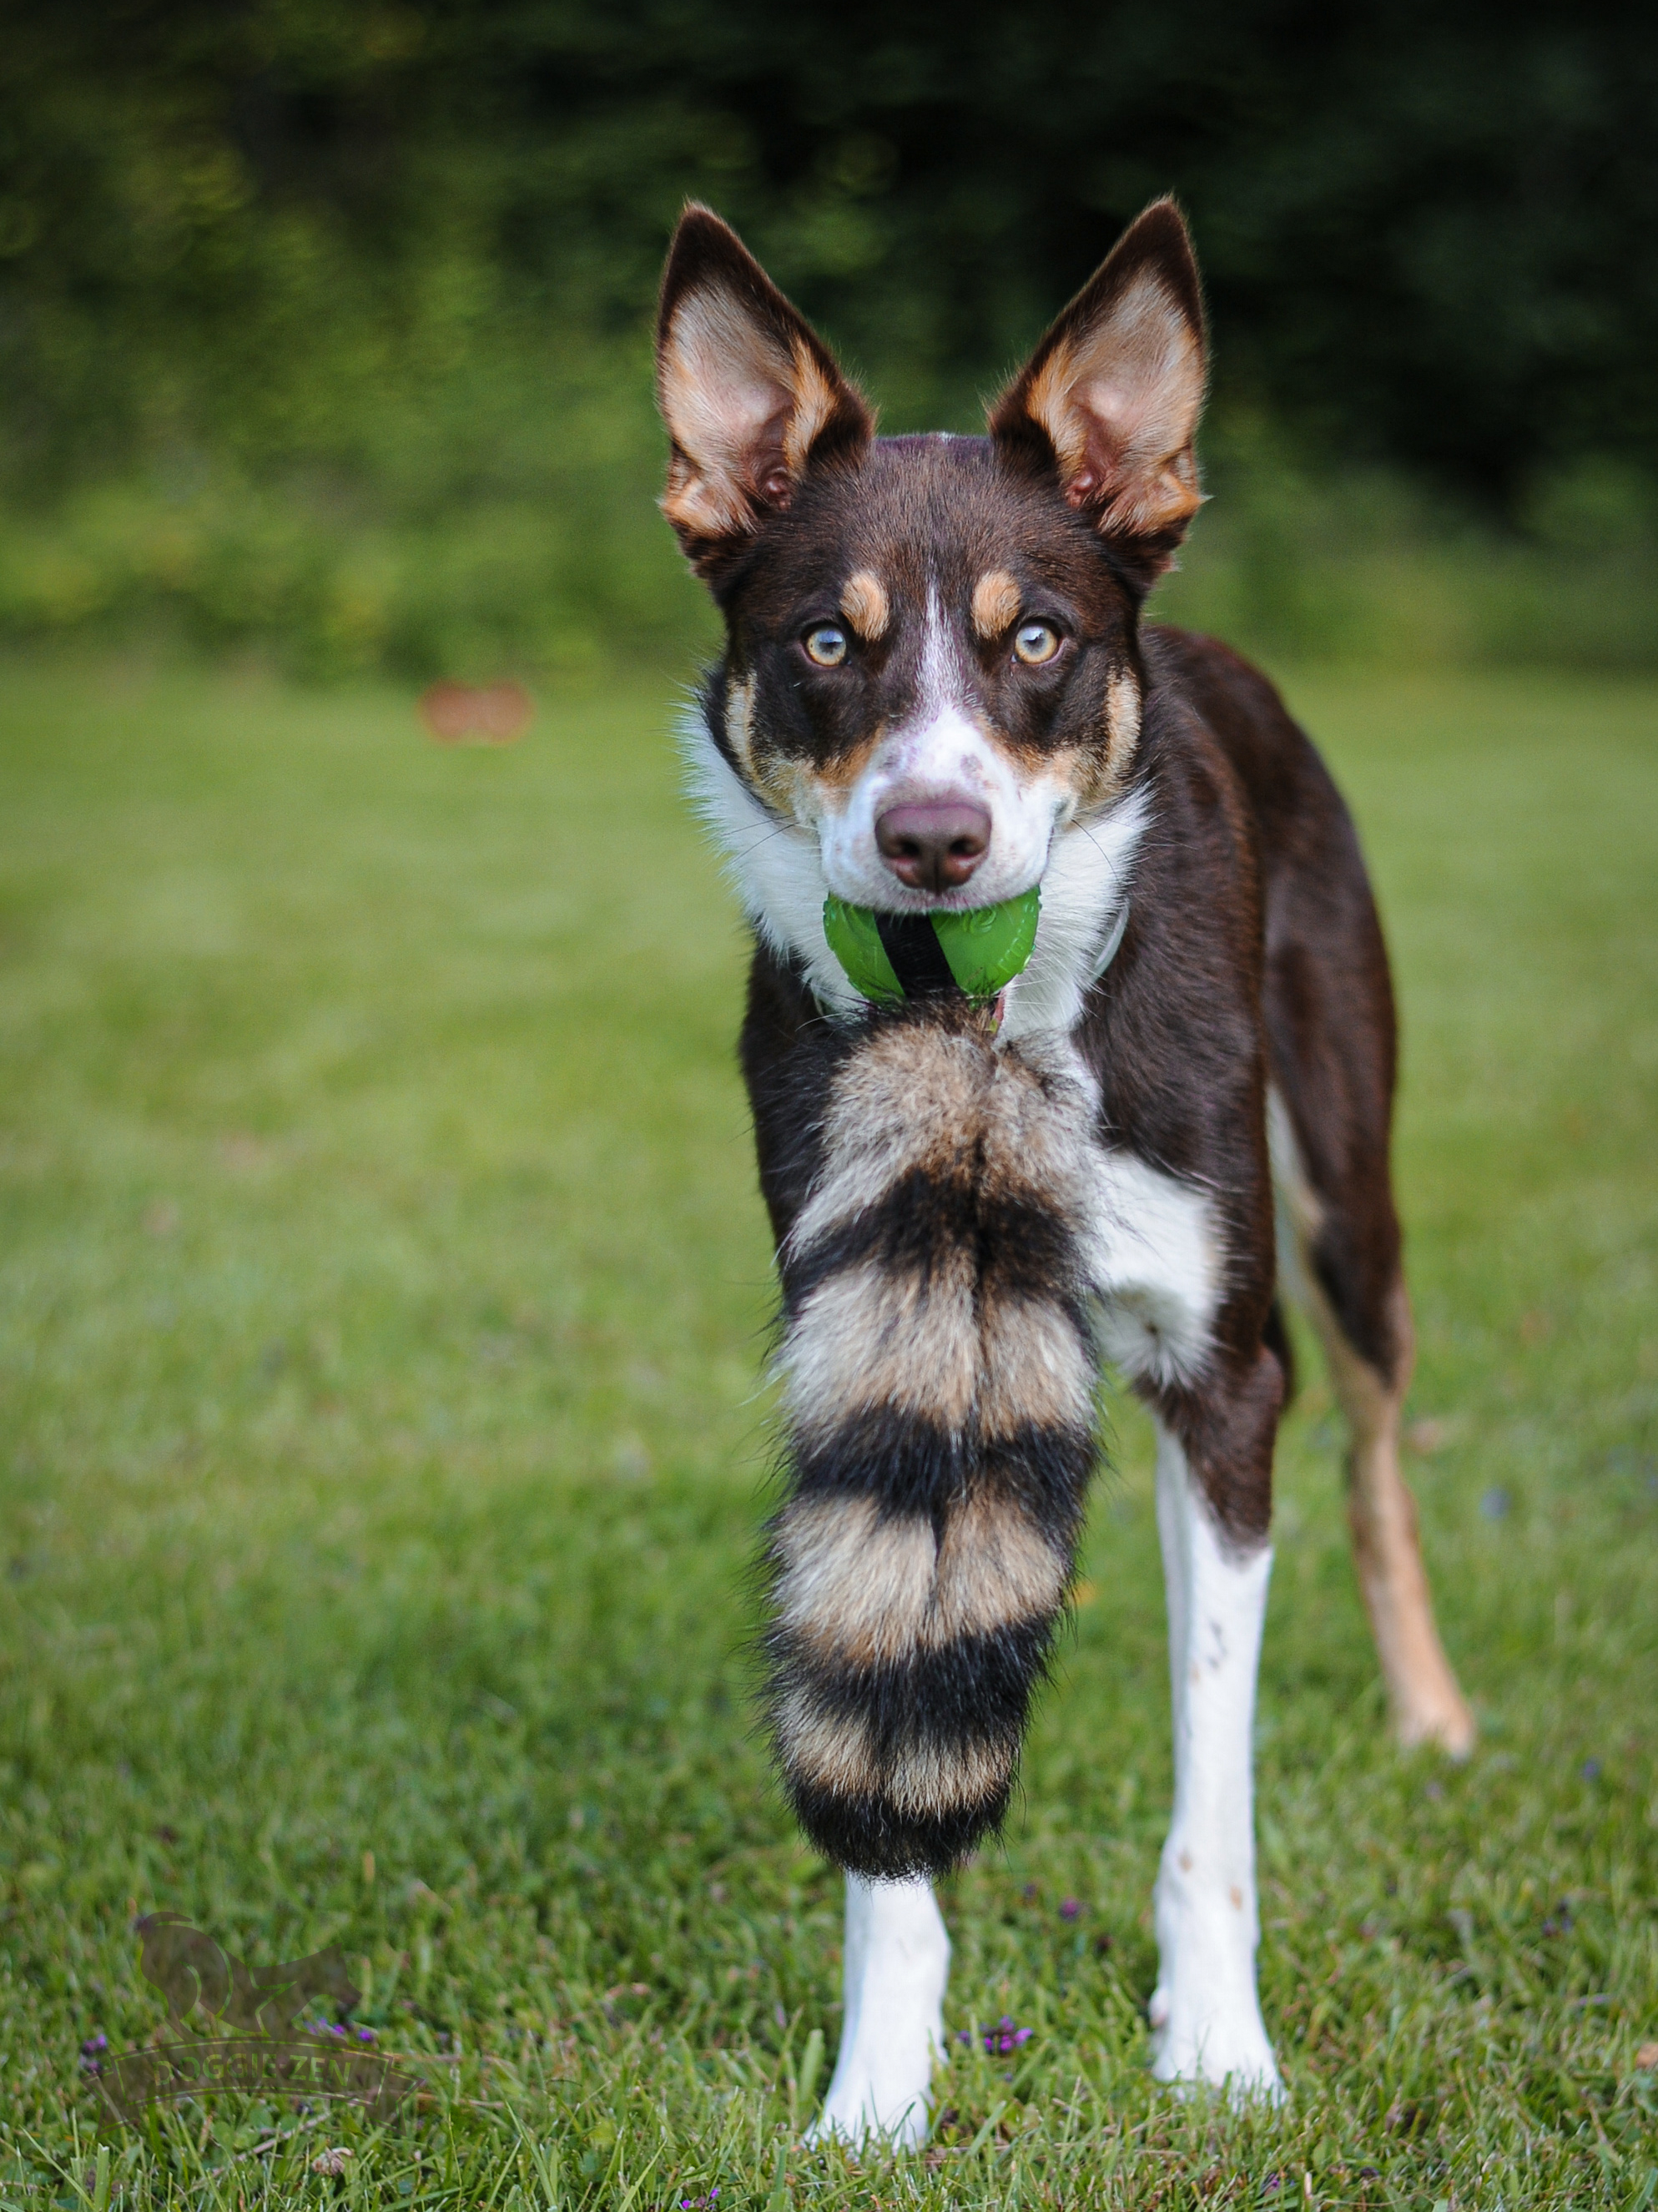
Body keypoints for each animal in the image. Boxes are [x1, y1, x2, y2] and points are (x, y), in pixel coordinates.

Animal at [654, 194, 1476, 2141]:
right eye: (824, 644)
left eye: (1035, 643)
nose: (933, 840)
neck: (1000, 1035)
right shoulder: (879, 1311)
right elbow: (892, 1729)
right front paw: (876, 2097)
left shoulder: (1224, 1373)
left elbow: (1212, 1796)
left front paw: (1222, 2048)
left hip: (1348, 1197)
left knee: (1381, 1450)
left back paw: (1427, 1711)